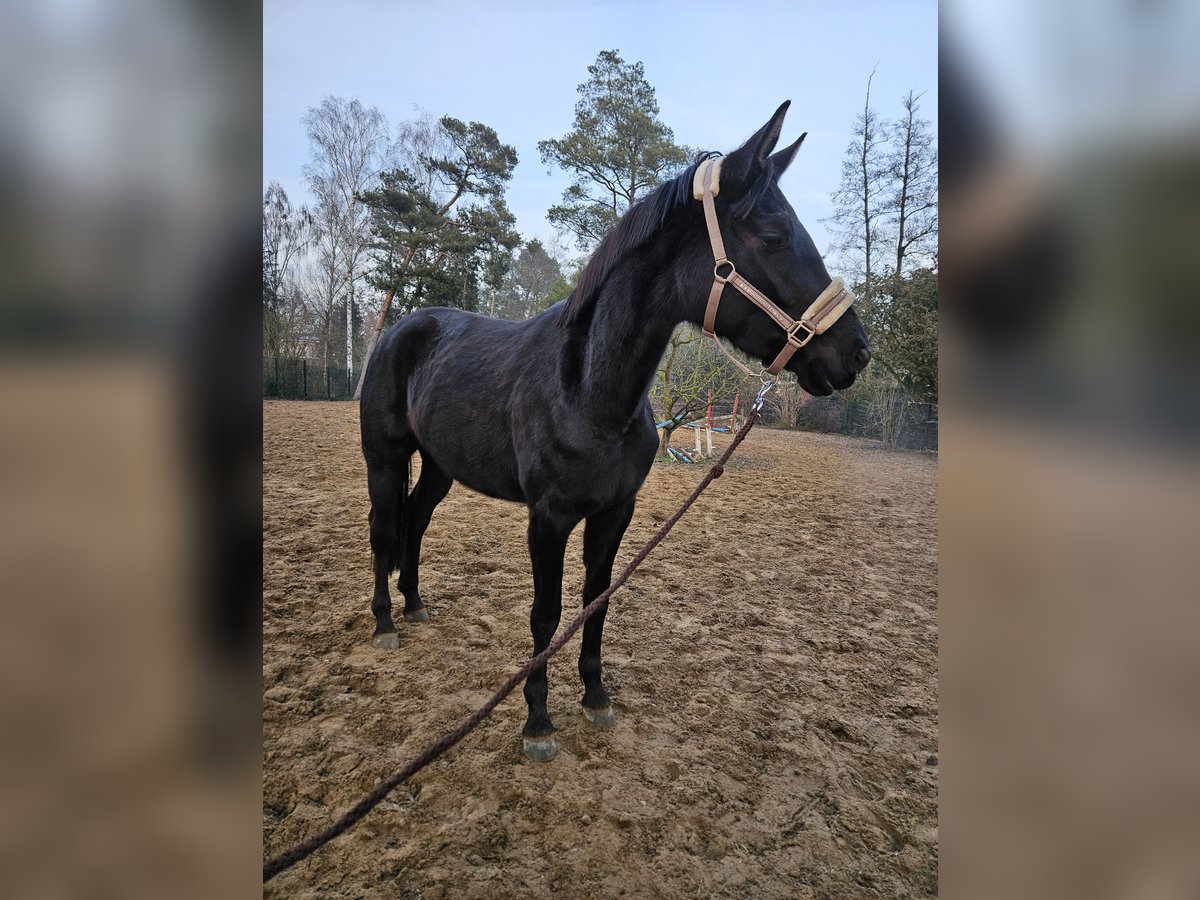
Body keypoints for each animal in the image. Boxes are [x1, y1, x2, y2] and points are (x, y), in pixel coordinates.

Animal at [357, 103, 873, 763]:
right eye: (774, 237)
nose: (854, 354)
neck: (587, 389)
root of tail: (401, 330)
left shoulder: (614, 512)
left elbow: (594, 604)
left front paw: (596, 698)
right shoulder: (548, 518)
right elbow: (546, 614)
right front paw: (538, 722)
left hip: (441, 467)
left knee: (416, 521)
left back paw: (416, 606)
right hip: (384, 459)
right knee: (383, 531)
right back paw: (385, 624)